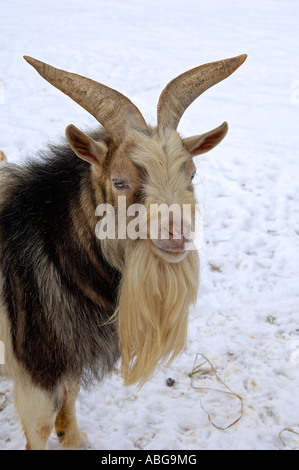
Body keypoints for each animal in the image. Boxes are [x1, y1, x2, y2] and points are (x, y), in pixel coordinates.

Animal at [0, 53, 247, 450]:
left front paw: (76, 440)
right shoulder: (36, 366)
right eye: (119, 181)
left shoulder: (69, 352)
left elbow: (69, 397)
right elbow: (39, 427)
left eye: (191, 175)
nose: (177, 233)